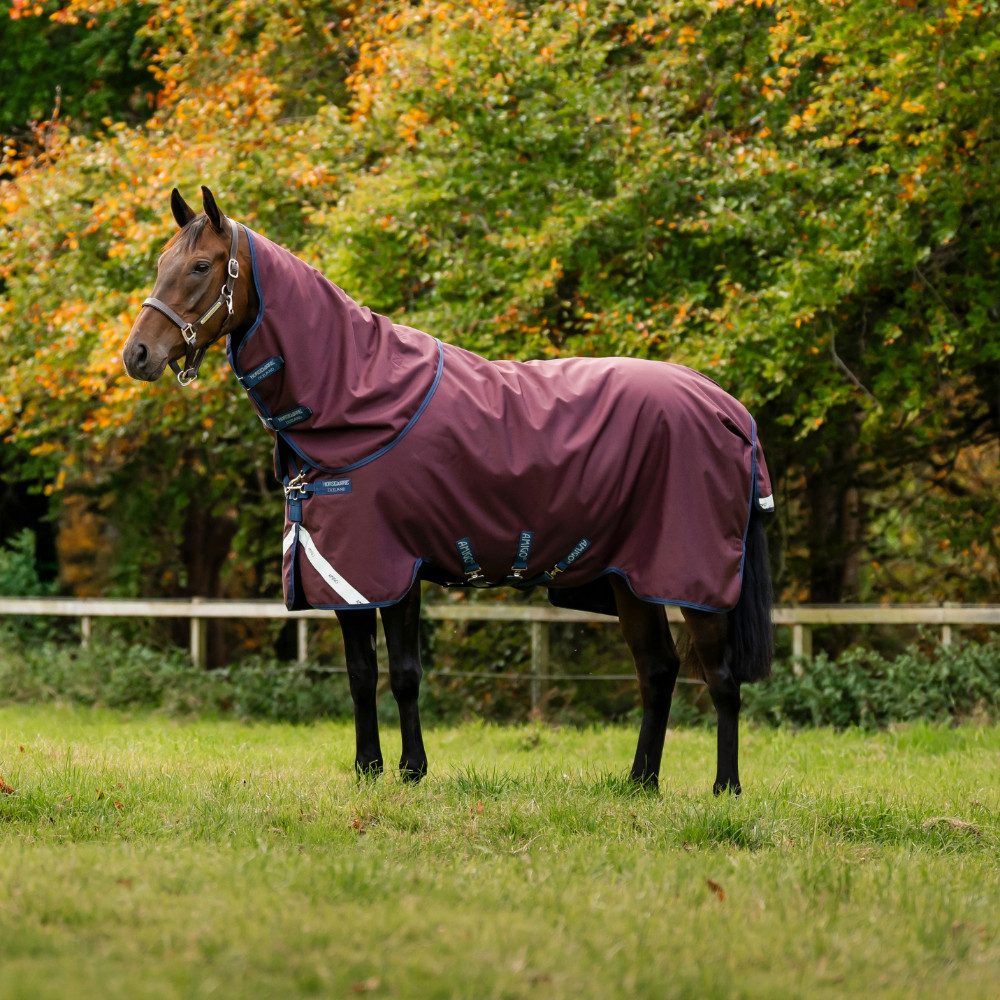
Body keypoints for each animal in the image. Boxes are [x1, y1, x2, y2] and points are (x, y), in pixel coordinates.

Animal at [123, 186, 775, 794]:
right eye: (160, 262)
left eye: (200, 266)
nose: (138, 355)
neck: (356, 394)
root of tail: (729, 409)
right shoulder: (341, 571)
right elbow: (361, 673)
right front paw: (367, 768)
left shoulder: (392, 566)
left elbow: (405, 672)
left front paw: (411, 770)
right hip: (631, 580)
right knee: (658, 669)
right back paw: (641, 782)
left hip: (693, 579)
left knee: (720, 678)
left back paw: (726, 787)